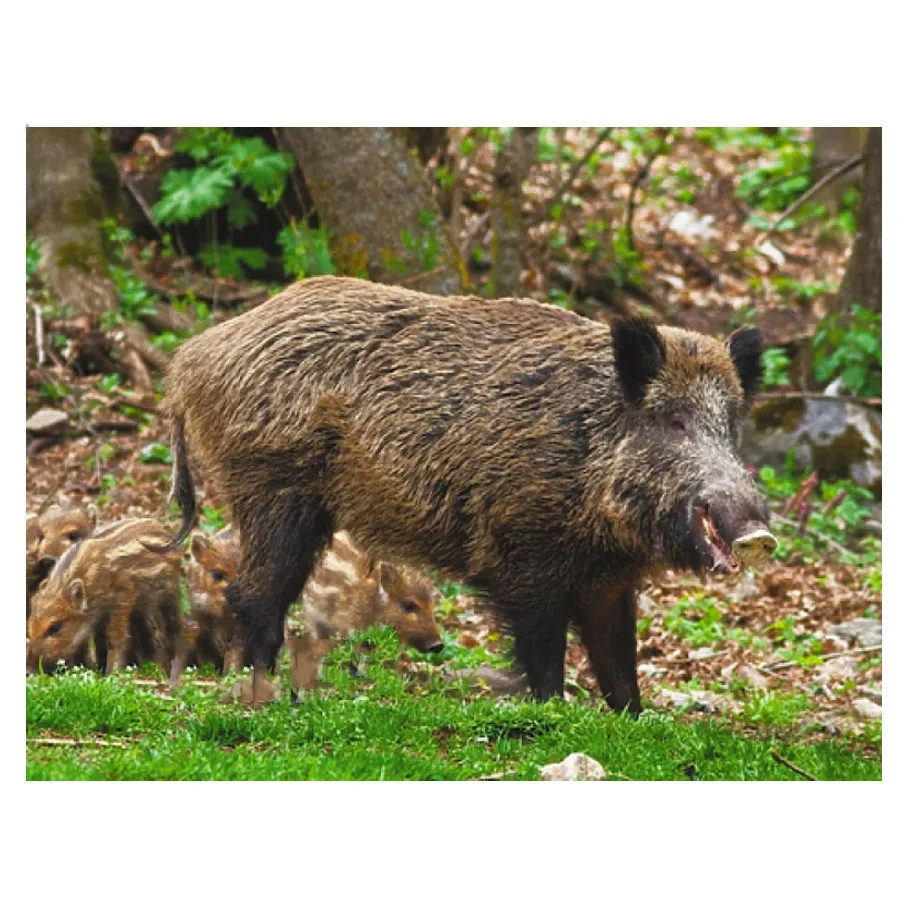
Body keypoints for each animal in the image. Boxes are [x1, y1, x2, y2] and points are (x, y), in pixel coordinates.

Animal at [26, 518, 181, 675]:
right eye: (30, 626)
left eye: (55, 628)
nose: (29, 671)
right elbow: (96, 640)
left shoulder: (123, 598)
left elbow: (115, 637)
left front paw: (112, 673)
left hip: (169, 597)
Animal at [161, 276, 776, 713]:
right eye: (674, 421)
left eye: (729, 425)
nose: (758, 531)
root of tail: (191, 358)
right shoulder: (524, 558)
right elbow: (544, 653)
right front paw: (551, 714)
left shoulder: (607, 581)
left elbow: (618, 662)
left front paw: (633, 720)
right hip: (275, 493)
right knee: (254, 595)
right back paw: (264, 691)